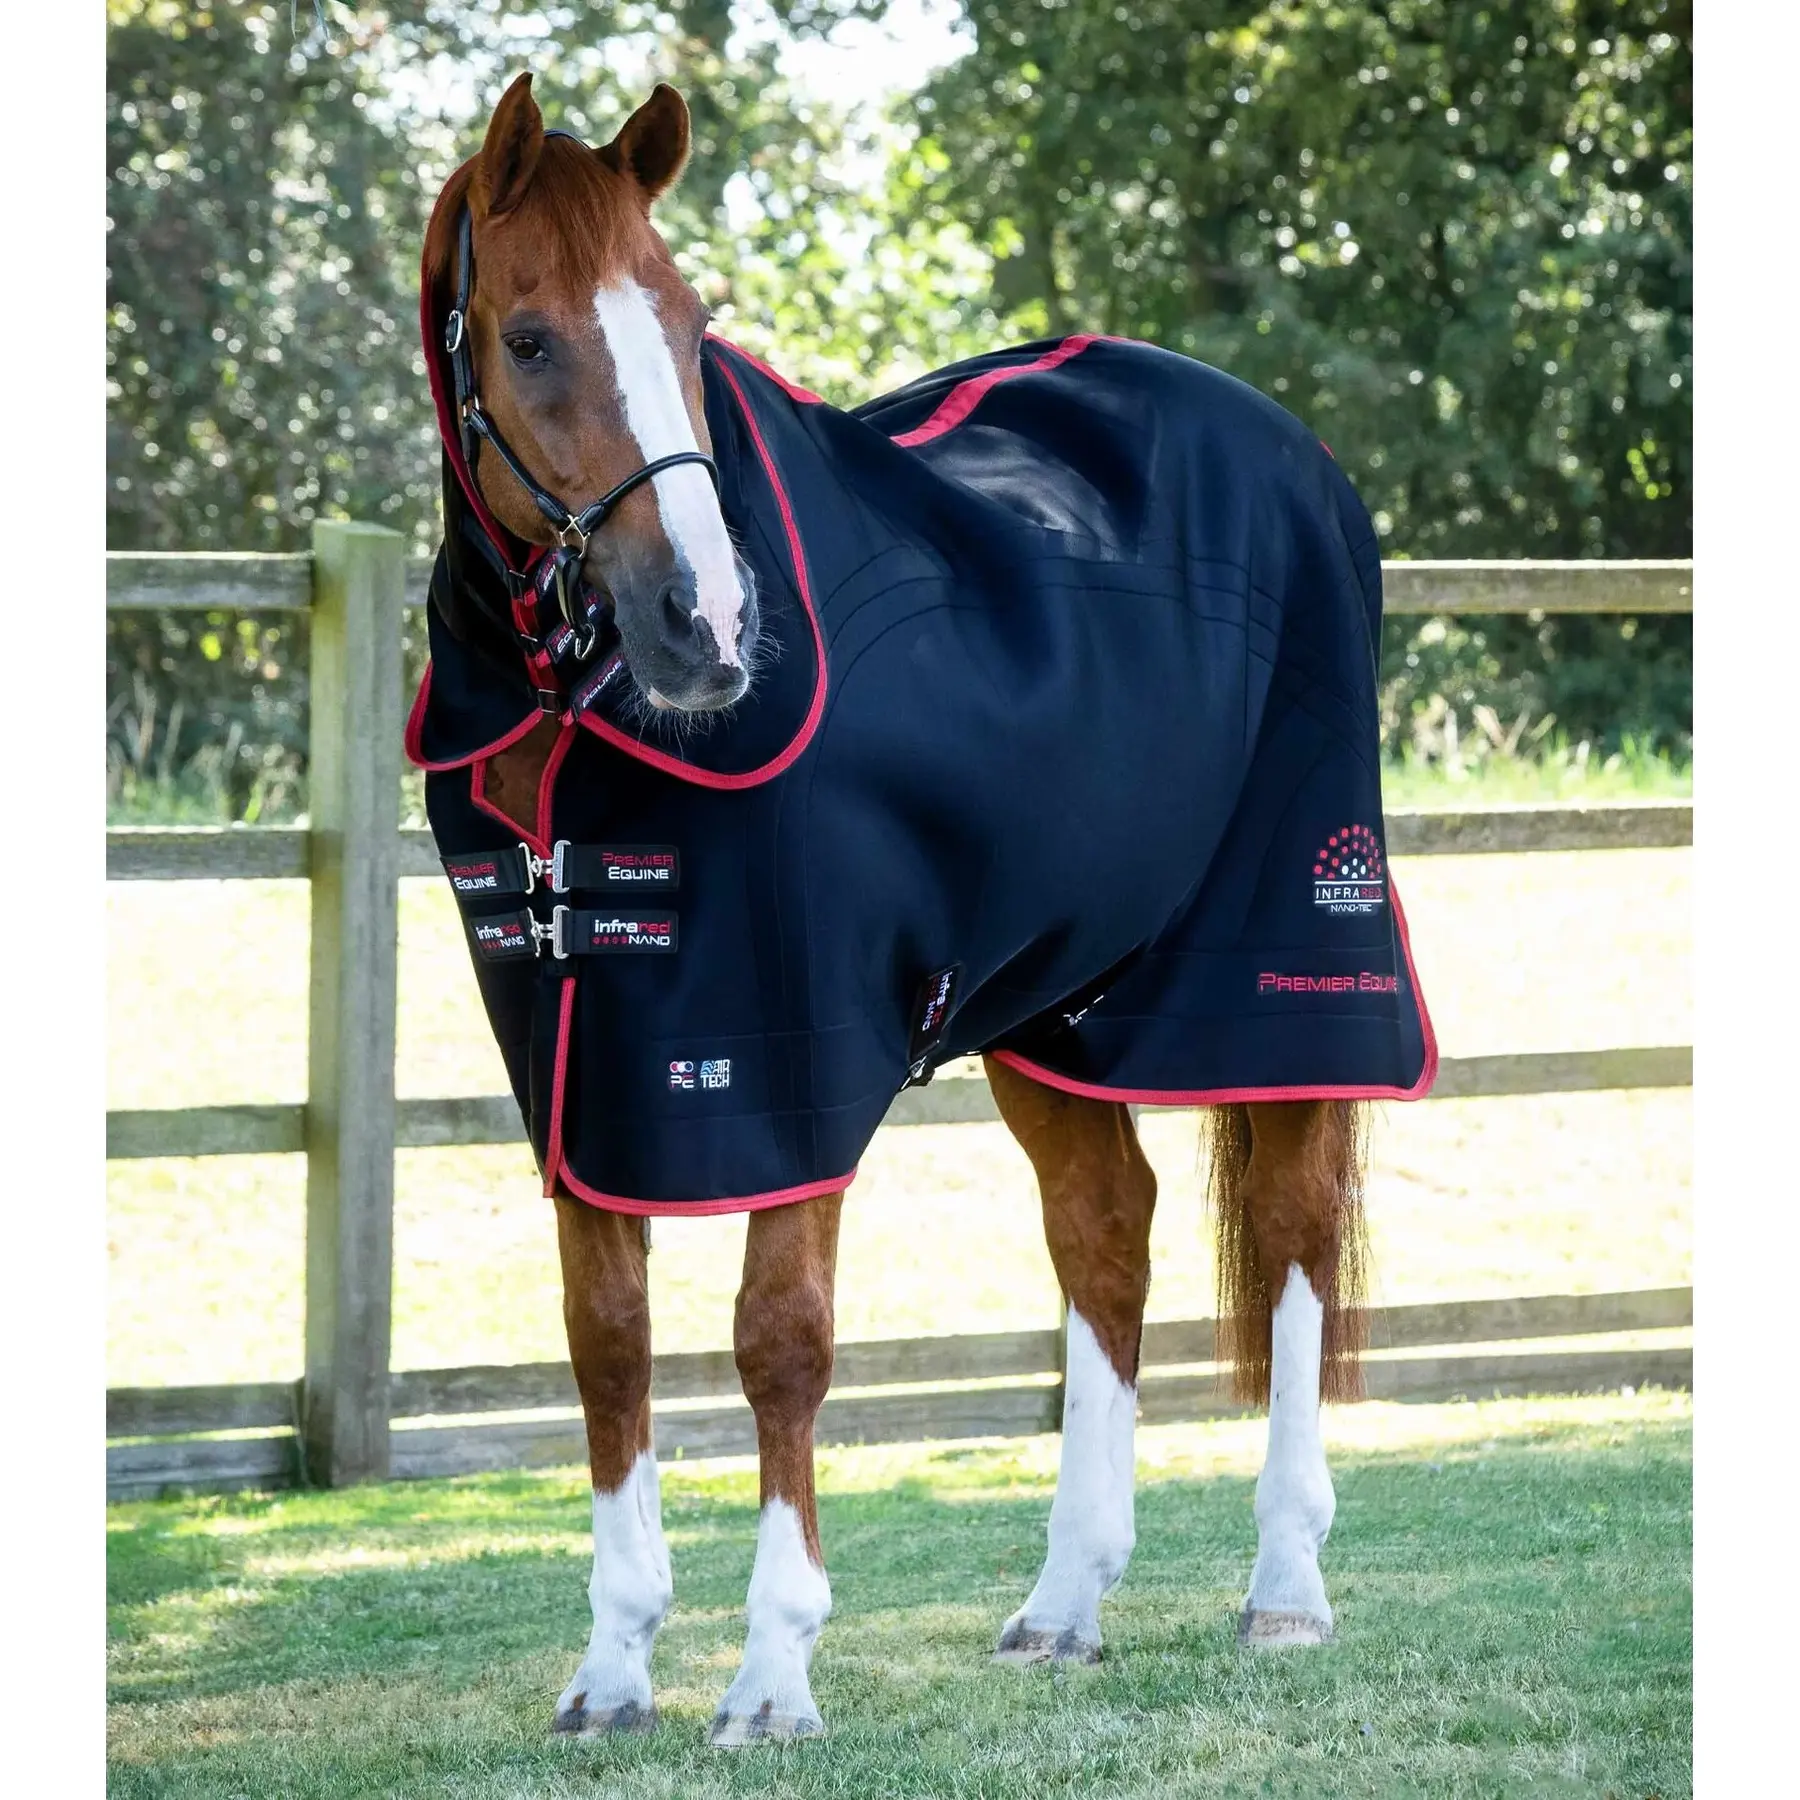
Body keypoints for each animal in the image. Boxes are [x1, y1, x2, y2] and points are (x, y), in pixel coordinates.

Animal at [408, 73, 1435, 1745]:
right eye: (533, 337)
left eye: (686, 323)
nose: (706, 626)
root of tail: (1294, 452)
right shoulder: (586, 1070)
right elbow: (606, 1346)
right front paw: (613, 1670)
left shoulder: (789, 1054)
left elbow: (779, 1343)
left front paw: (770, 1673)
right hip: (1057, 1003)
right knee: (1106, 1232)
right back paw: (1066, 1603)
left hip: (1279, 961)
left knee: (1285, 1236)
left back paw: (1284, 1586)